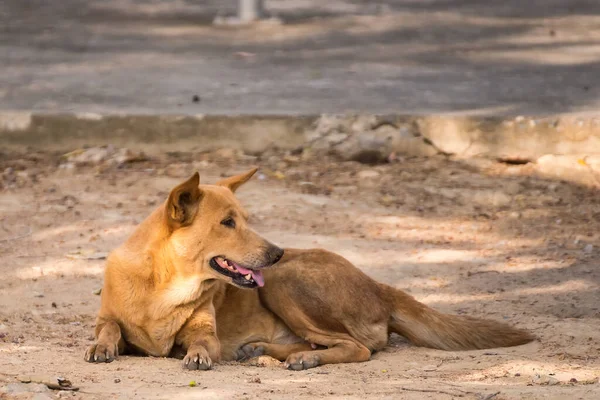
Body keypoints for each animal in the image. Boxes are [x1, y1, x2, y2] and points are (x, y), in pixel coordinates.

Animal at [85, 167, 536, 370]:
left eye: (246, 219)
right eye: (228, 223)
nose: (277, 251)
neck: (165, 284)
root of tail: (380, 285)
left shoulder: (206, 333)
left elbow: (198, 342)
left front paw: (195, 355)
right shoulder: (108, 317)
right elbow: (110, 329)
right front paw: (101, 346)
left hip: (282, 284)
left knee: (357, 347)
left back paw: (300, 360)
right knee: (320, 342)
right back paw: (268, 352)